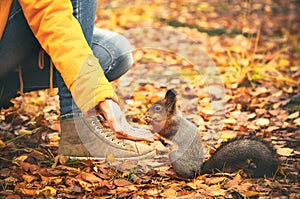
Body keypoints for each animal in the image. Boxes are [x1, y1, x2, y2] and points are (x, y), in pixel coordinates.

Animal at [147, 88, 278, 179]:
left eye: (158, 108)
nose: (147, 112)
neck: (172, 116)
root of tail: (199, 170)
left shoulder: (174, 126)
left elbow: (164, 131)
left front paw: (150, 122)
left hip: (175, 157)